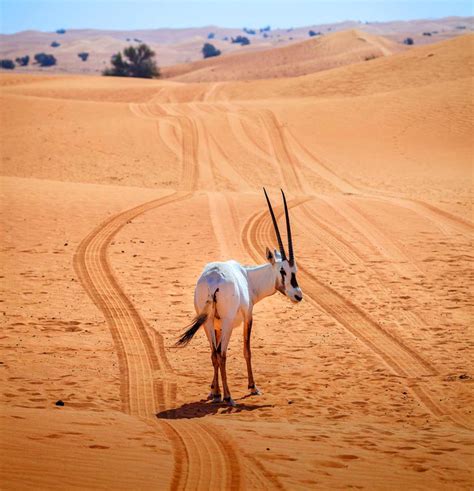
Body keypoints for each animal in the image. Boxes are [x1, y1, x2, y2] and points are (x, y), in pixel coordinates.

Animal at [176, 188, 302, 408]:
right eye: (282, 271)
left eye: (294, 270)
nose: (298, 295)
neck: (248, 277)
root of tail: (213, 281)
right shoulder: (248, 316)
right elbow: (246, 350)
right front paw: (252, 387)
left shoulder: (216, 325)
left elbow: (215, 354)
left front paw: (213, 391)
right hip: (226, 322)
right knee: (222, 354)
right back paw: (229, 397)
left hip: (208, 322)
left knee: (214, 353)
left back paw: (220, 394)